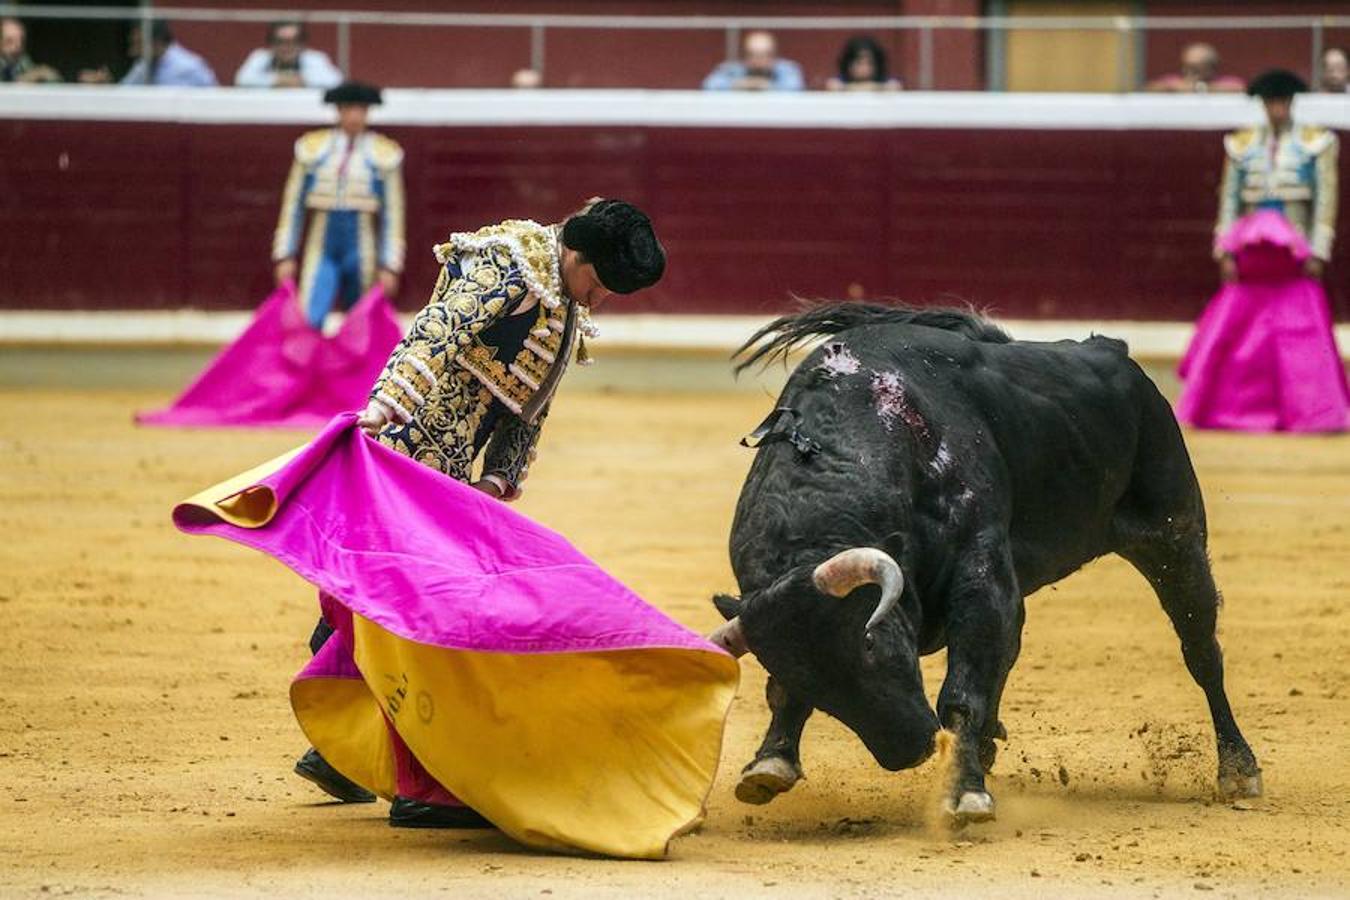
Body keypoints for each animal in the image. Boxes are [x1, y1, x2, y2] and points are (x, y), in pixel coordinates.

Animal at [712, 306, 1258, 825]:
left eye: (870, 643)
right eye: (801, 673)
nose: (911, 749)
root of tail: (1112, 350)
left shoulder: (979, 572)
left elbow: (962, 692)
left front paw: (966, 793)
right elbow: (786, 695)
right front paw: (770, 764)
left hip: (1175, 536)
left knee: (1201, 650)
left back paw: (1238, 769)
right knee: (1011, 647)